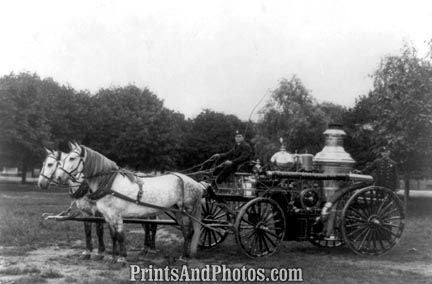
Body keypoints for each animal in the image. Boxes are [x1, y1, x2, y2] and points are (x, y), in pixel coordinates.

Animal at [55, 143, 204, 262]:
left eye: (72, 158)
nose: (58, 177)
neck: (109, 184)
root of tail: (196, 184)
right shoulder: (107, 215)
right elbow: (113, 235)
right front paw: (113, 257)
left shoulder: (116, 215)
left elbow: (120, 235)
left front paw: (122, 258)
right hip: (178, 211)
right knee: (186, 231)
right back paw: (184, 254)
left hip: (187, 211)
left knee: (188, 231)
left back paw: (184, 256)